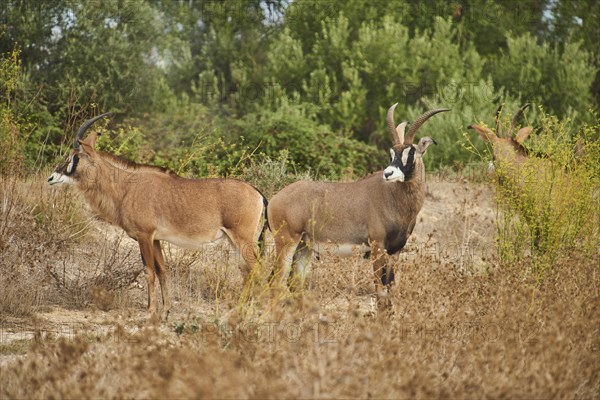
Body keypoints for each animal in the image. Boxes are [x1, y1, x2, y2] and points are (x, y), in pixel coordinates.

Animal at [49, 113, 268, 322]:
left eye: (74, 157)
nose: (51, 178)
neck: (126, 187)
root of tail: (258, 193)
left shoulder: (144, 236)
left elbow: (149, 272)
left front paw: (150, 313)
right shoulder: (156, 239)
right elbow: (162, 271)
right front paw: (165, 313)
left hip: (242, 238)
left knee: (257, 269)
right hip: (234, 240)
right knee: (246, 271)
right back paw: (237, 314)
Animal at [268, 104, 450, 310]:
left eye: (410, 153)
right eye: (392, 153)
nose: (388, 173)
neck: (393, 197)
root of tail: (274, 199)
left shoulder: (395, 250)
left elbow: (390, 289)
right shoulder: (377, 247)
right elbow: (380, 291)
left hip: (304, 247)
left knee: (295, 282)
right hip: (287, 242)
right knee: (277, 281)